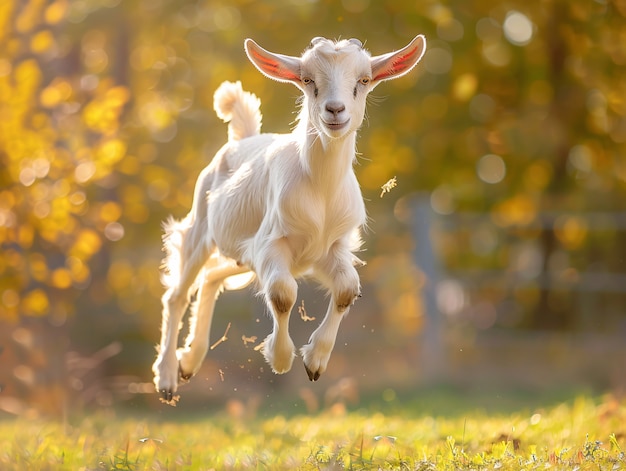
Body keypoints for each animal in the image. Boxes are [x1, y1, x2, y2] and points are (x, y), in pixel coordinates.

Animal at [151, 34, 424, 402]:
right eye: (308, 80)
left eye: (364, 80)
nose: (335, 110)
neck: (320, 189)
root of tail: (244, 138)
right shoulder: (270, 244)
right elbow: (282, 293)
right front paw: (280, 359)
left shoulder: (330, 248)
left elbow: (346, 290)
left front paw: (315, 362)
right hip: (202, 230)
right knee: (177, 294)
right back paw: (167, 378)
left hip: (240, 258)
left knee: (211, 279)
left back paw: (190, 362)